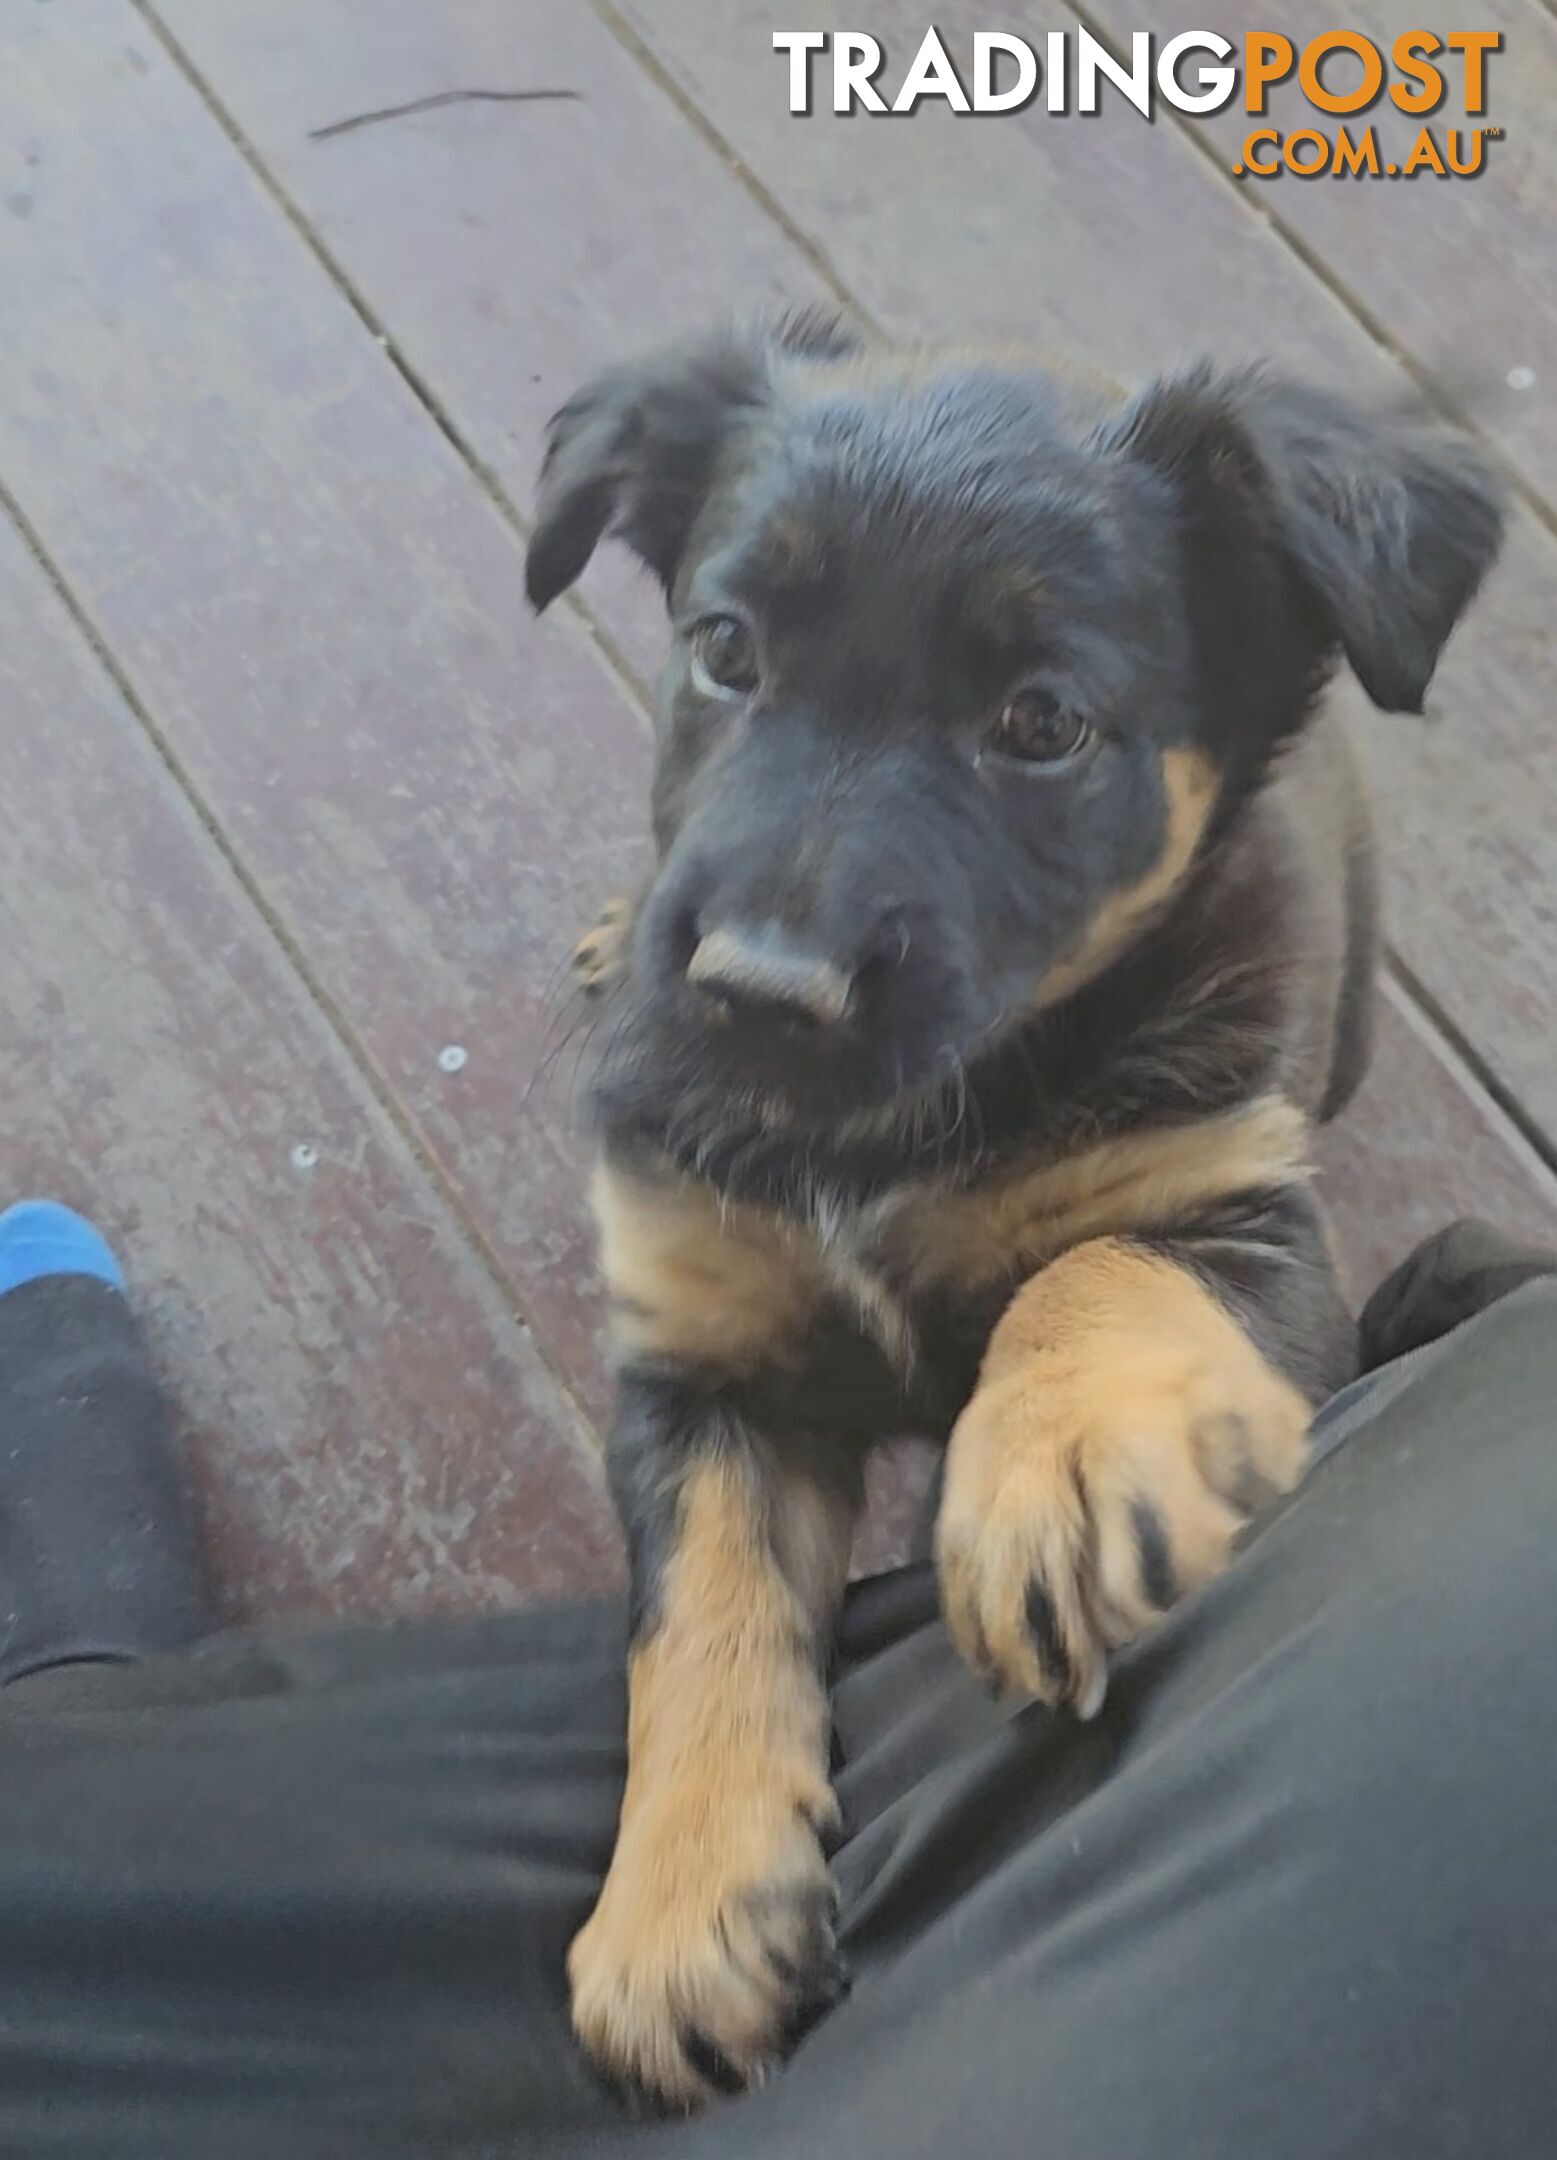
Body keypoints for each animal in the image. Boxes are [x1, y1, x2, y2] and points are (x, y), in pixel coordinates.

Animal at [524, 319, 1503, 2108]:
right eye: (724, 649)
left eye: (1041, 722)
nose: (754, 998)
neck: (883, 1133)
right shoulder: (701, 1362)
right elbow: (695, 1616)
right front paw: (681, 1907)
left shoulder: (1252, 1236)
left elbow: (1094, 1264)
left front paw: (1056, 1463)